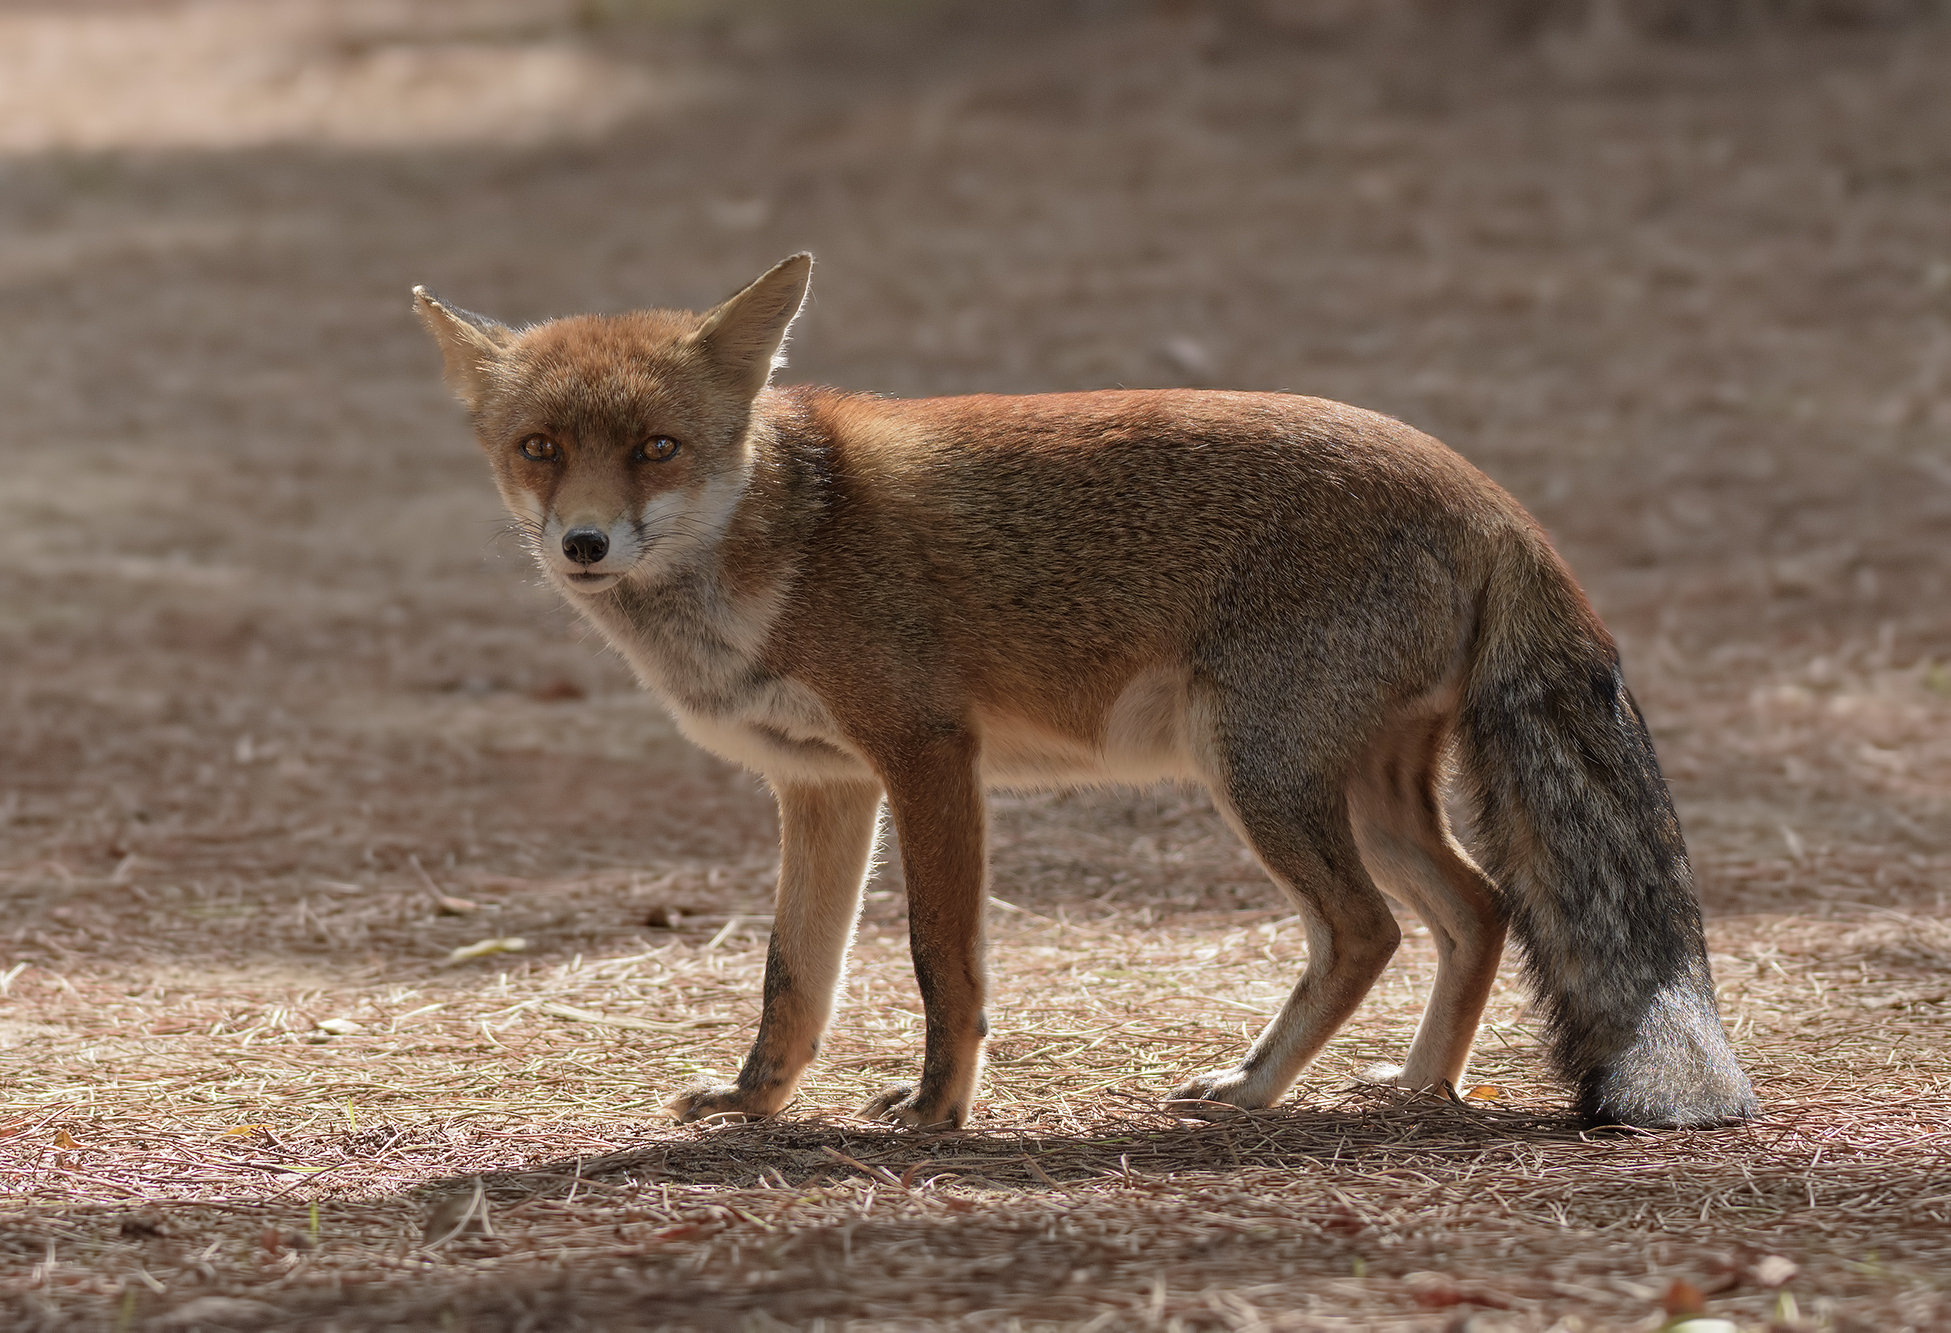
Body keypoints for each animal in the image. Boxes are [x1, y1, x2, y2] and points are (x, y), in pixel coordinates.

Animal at [413, 253, 1756, 1132]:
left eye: (658, 448)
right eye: (539, 448)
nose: (584, 543)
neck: (784, 545)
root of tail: (1490, 494)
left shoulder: (927, 756)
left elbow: (942, 961)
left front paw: (937, 1110)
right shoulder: (824, 788)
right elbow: (795, 977)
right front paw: (756, 1102)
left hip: (1257, 777)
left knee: (1367, 928)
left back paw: (1253, 1088)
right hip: (1354, 792)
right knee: (1478, 909)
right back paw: (1418, 1085)